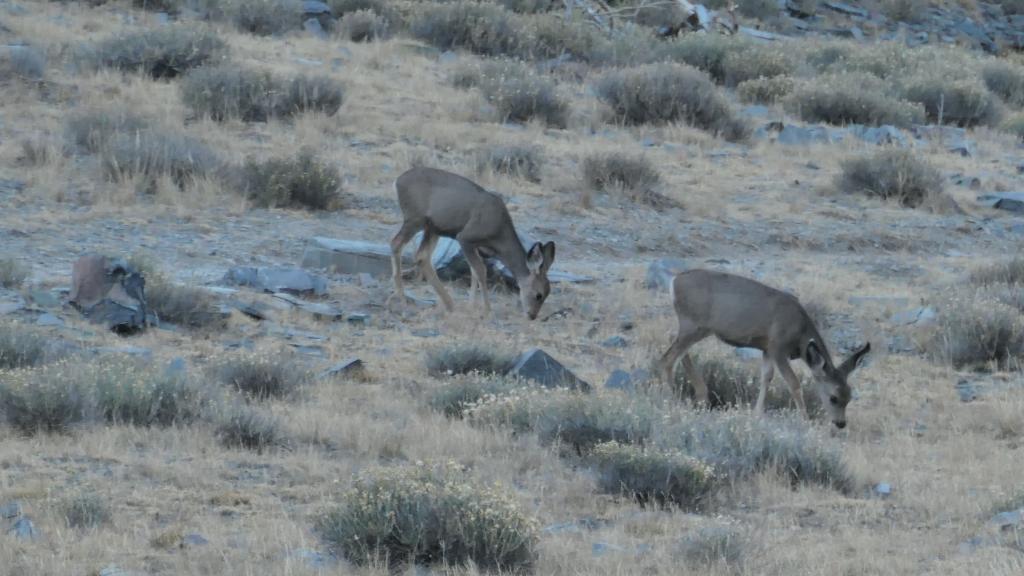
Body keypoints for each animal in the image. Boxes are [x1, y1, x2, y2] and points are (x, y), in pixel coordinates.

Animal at [387, 166, 557, 317]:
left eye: (548, 293)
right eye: (539, 295)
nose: (532, 315)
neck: (499, 234)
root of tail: (397, 181)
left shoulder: (477, 247)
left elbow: (474, 272)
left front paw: (472, 306)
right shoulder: (466, 237)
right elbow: (481, 270)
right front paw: (487, 309)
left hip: (433, 227)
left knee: (422, 256)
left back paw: (449, 304)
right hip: (415, 218)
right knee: (396, 243)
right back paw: (401, 297)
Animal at [659, 268, 868, 426]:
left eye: (849, 396)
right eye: (833, 397)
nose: (840, 424)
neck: (799, 333)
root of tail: (674, 281)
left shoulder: (766, 349)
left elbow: (766, 377)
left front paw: (758, 413)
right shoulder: (778, 347)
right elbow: (794, 383)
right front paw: (804, 419)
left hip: (694, 327)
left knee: (674, 344)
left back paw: (700, 394)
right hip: (694, 324)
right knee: (668, 357)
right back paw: (672, 398)